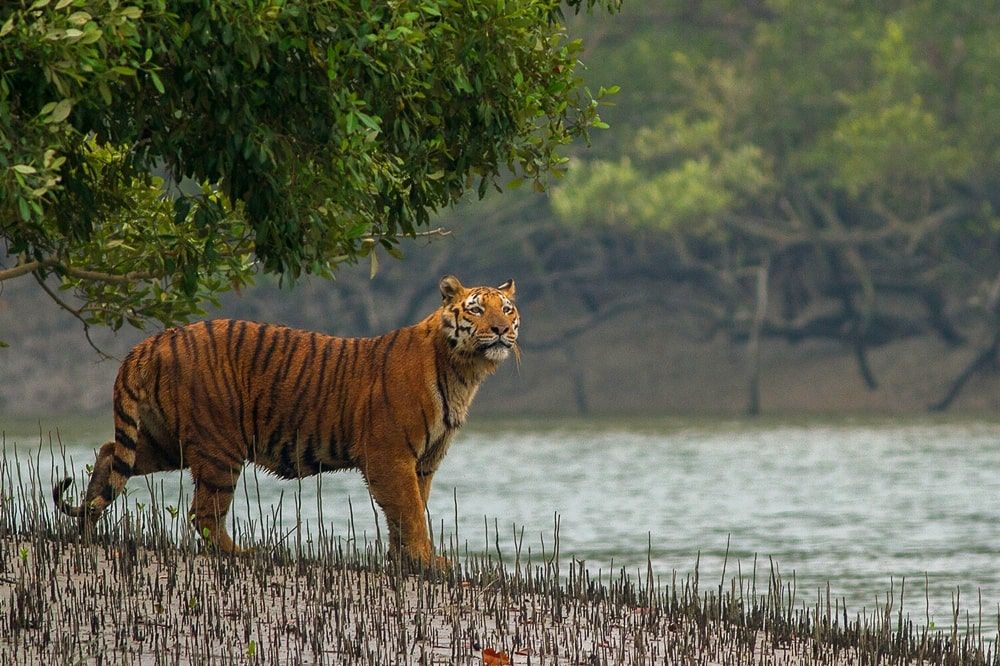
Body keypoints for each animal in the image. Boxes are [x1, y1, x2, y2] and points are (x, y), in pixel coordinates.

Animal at [53, 275, 519, 567]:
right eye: (476, 311)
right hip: (219, 446)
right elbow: (409, 511)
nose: (500, 330)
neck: (464, 371)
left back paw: (87, 529)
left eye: (508, 310)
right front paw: (427, 562)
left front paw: (405, 560)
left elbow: (410, 510)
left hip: (166, 440)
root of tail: (154, 340)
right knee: (204, 513)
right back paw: (241, 553)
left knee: (110, 453)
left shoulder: (423, 461)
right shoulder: (390, 455)